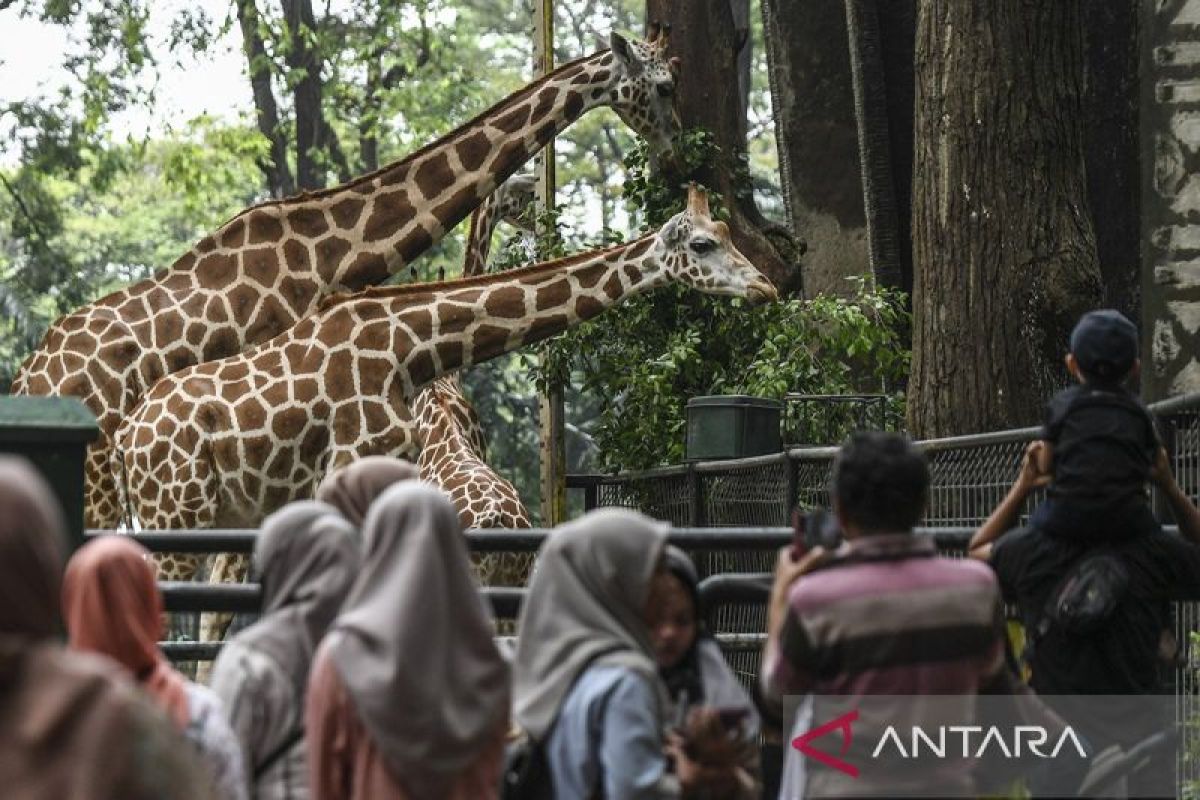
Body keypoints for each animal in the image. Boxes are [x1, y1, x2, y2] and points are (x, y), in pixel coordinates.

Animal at [112, 184, 772, 604]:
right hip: (176, 519)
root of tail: (127, 438)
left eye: (726, 232)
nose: (765, 285)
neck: (412, 351)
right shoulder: (350, 470)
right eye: (703, 245)